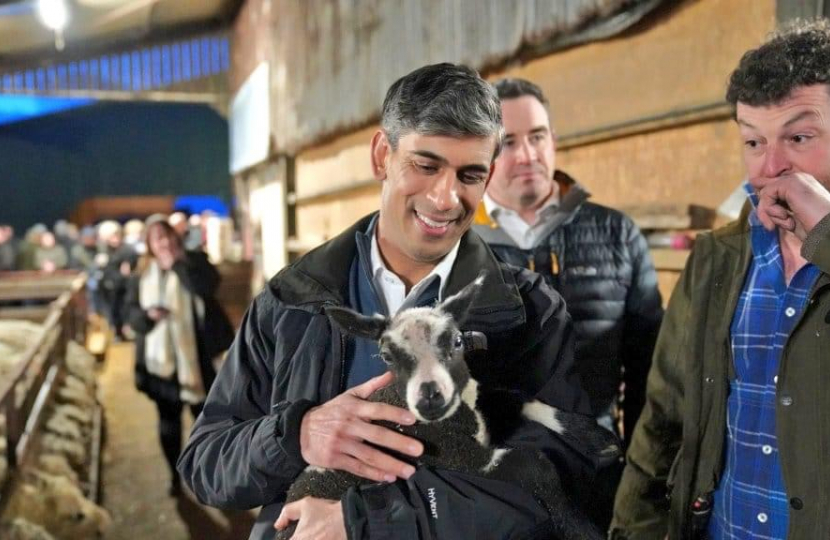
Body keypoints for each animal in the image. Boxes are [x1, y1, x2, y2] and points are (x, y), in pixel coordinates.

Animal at [278, 274, 616, 540]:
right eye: (387, 356)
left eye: (457, 342)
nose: (430, 397)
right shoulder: (453, 455)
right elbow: (534, 465)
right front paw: (582, 530)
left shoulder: (479, 398)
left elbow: (518, 396)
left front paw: (598, 438)